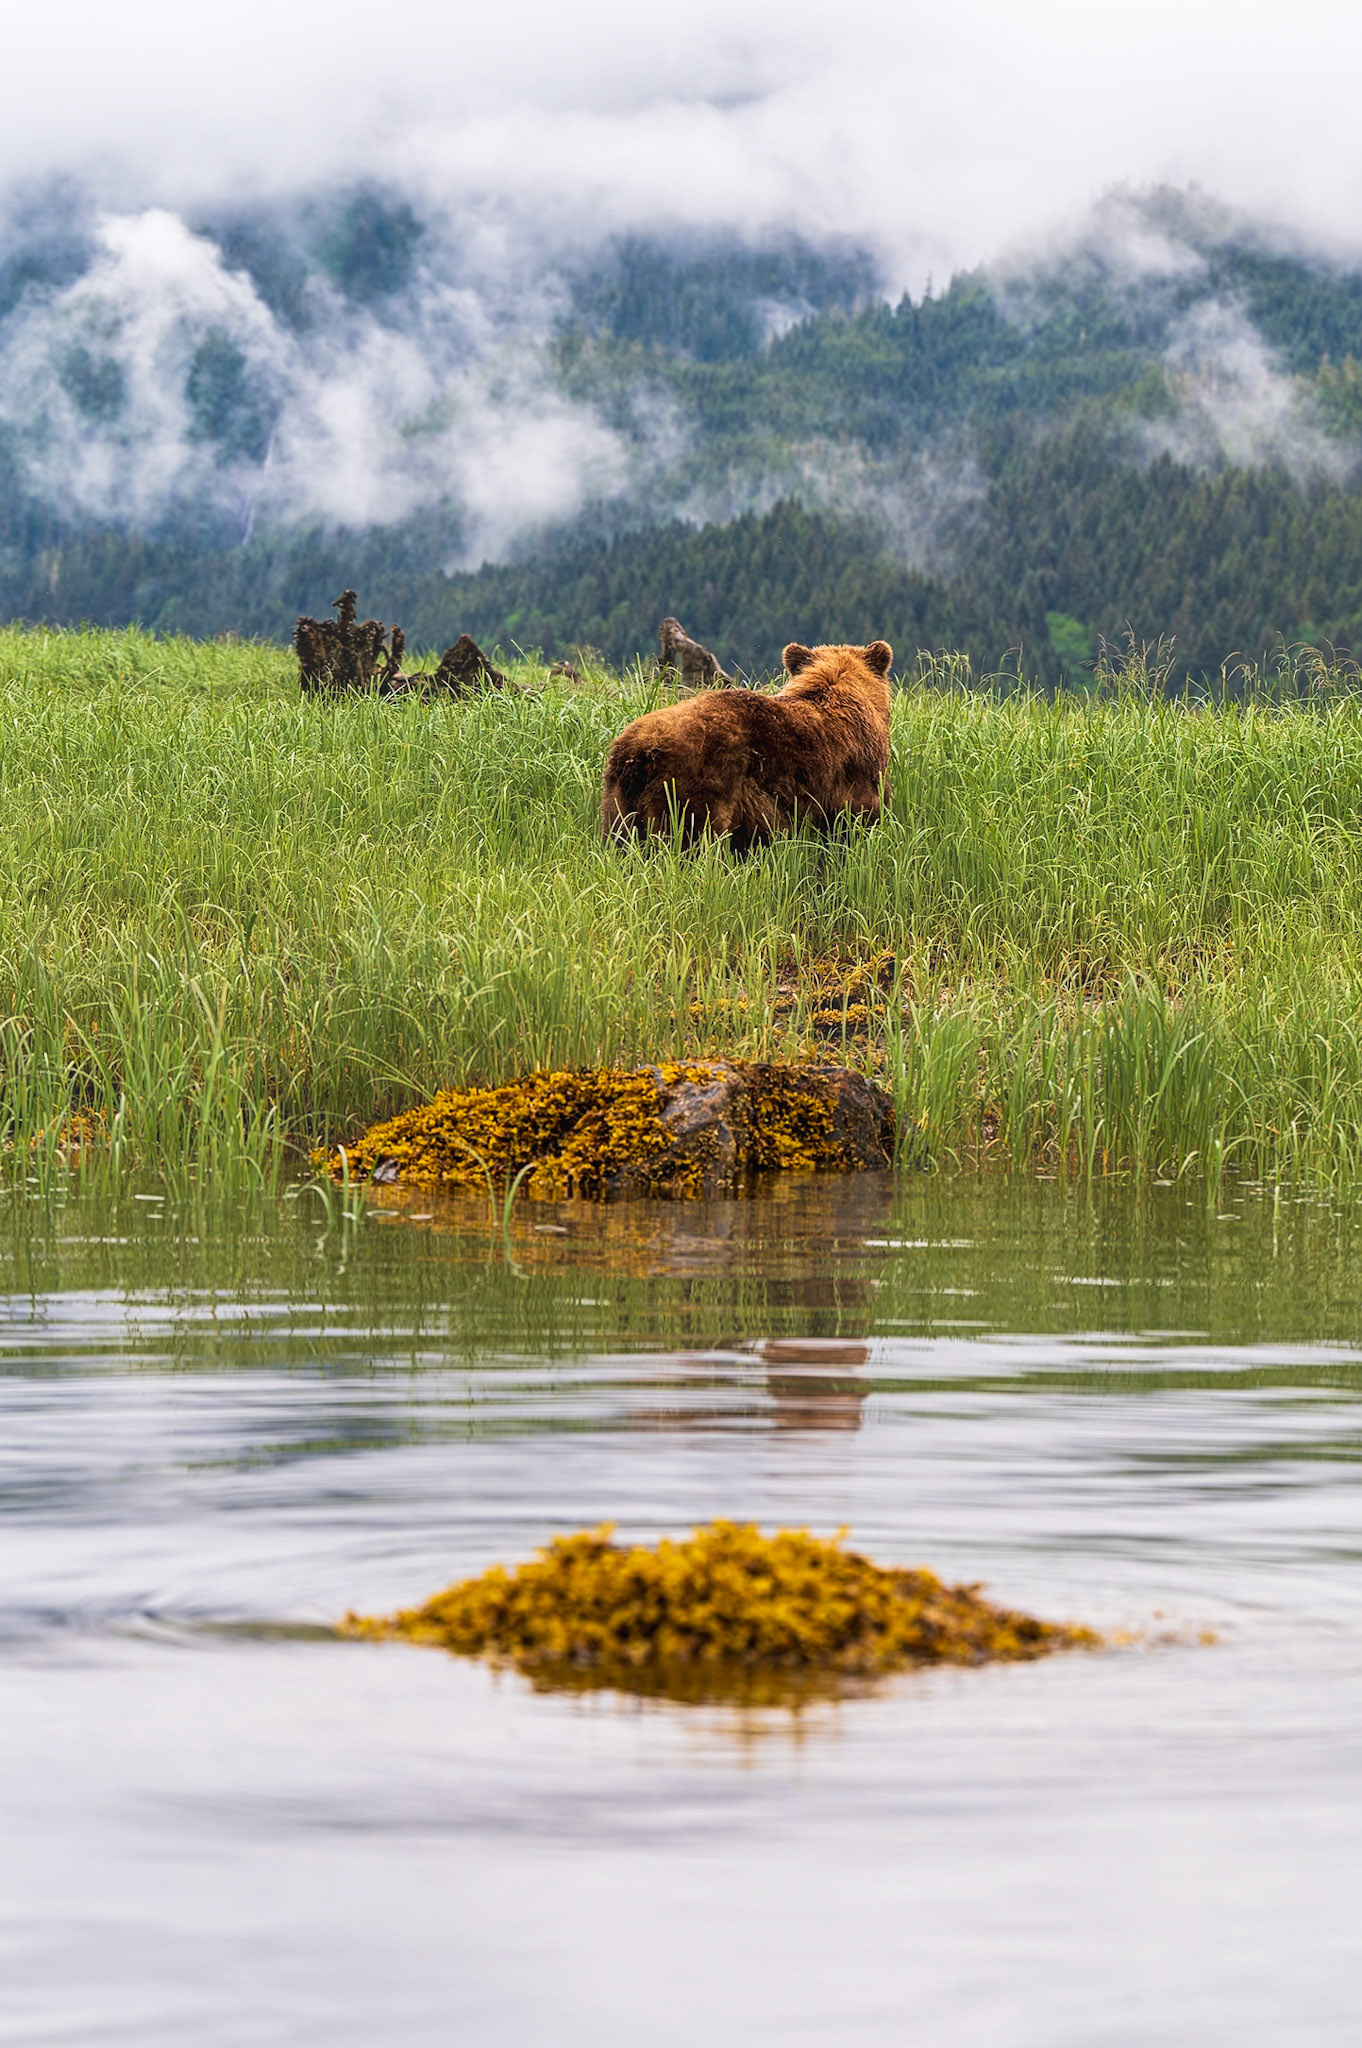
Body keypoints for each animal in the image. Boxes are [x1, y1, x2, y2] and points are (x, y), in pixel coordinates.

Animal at [601, 639, 893, 852]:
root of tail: (637, 751)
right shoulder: (852, 779)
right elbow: (855, 824)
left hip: (619, 799)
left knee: (621, 843)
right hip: (694, 789)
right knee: (691, 842)